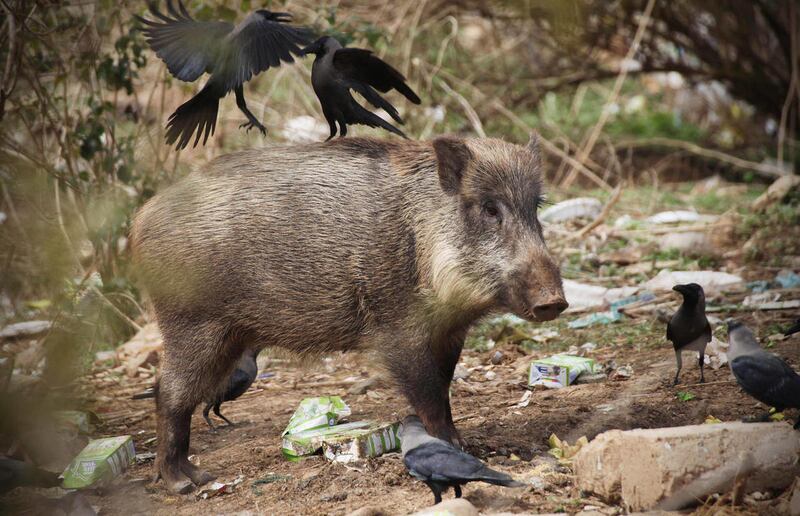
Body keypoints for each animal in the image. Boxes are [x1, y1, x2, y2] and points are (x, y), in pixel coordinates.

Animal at [130, 135, 567, 493]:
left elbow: (443, 388)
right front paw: (457, 446)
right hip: (192, 326)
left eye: (535, 207)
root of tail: (138, 222)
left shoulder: (448, 334)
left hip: (227, 338)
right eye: (490, 208)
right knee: (168, 393)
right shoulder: (399, 331)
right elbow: (427, 394)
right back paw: (185, 483)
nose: (555, 302)